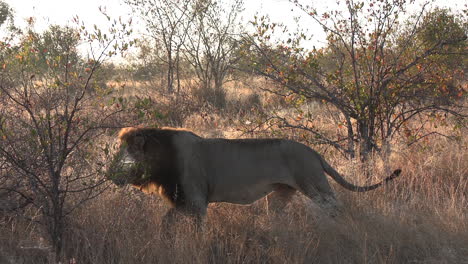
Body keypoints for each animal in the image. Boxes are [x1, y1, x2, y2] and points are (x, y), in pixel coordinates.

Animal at [107, 127, 402, 224]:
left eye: (125, 157)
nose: (109, 174)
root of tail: (313, 151)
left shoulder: (196, 201)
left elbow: (196, 229)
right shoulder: (181, 201)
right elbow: (165, 223)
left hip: (314, 184)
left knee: (335, 207)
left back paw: (344, 228)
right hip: (281, 194)